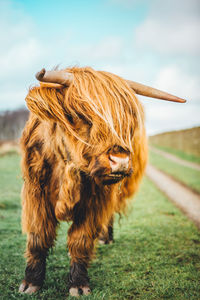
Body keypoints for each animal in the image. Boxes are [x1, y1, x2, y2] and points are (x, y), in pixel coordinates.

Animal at [18, 67, 186, 296]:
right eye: (78, 114)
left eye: (125, 120)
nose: (120, 161)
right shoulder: (36, 191)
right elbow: (38, 236)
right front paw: (31, 282)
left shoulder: (96, 199)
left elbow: (80, 239)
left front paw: (78, 284)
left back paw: (106, 237)